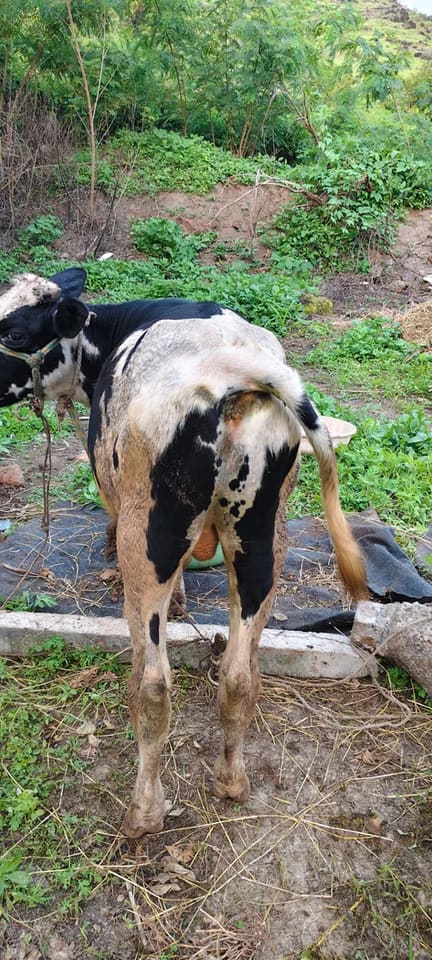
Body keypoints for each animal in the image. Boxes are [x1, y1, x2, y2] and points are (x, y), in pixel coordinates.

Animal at [0, 266, 367, 837]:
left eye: (14, 333)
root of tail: (233, 365)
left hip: (148, 537)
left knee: (153, 685)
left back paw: (144, 814)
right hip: (264, 537)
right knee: (239, 674)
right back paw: (232, 782)